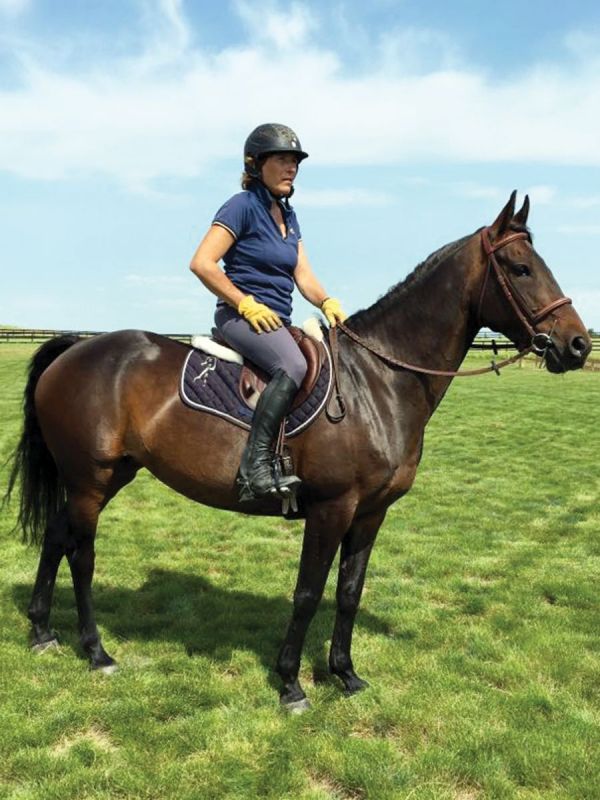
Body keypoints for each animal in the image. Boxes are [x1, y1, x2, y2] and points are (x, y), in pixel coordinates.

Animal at [5, 191, 591, 711]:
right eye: (521, 269)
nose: (578, 345)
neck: (378, 381)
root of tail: (78, 347)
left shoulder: (371, 513)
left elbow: (350, 591)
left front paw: (346, 675)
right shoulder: (332, 508)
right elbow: (308, 593)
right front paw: (291, 685)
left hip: (106, 476)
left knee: (56, 536)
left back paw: (41, 631)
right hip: (91, 478)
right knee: (81, 554)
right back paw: (96, 651)